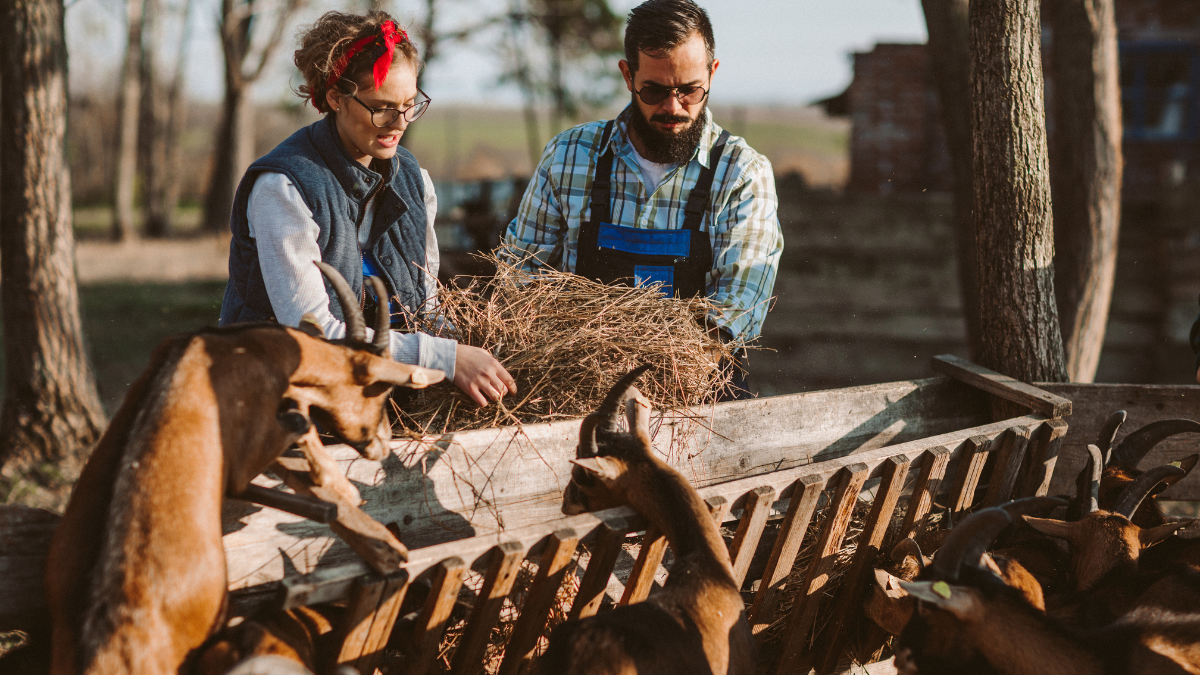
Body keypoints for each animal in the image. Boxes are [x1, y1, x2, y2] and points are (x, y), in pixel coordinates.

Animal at [45, 265, 446, 672]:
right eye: (381, 388)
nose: (382, 442)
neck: (239, 346)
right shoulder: (244, 459)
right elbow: (299, 416)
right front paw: (341, 487)